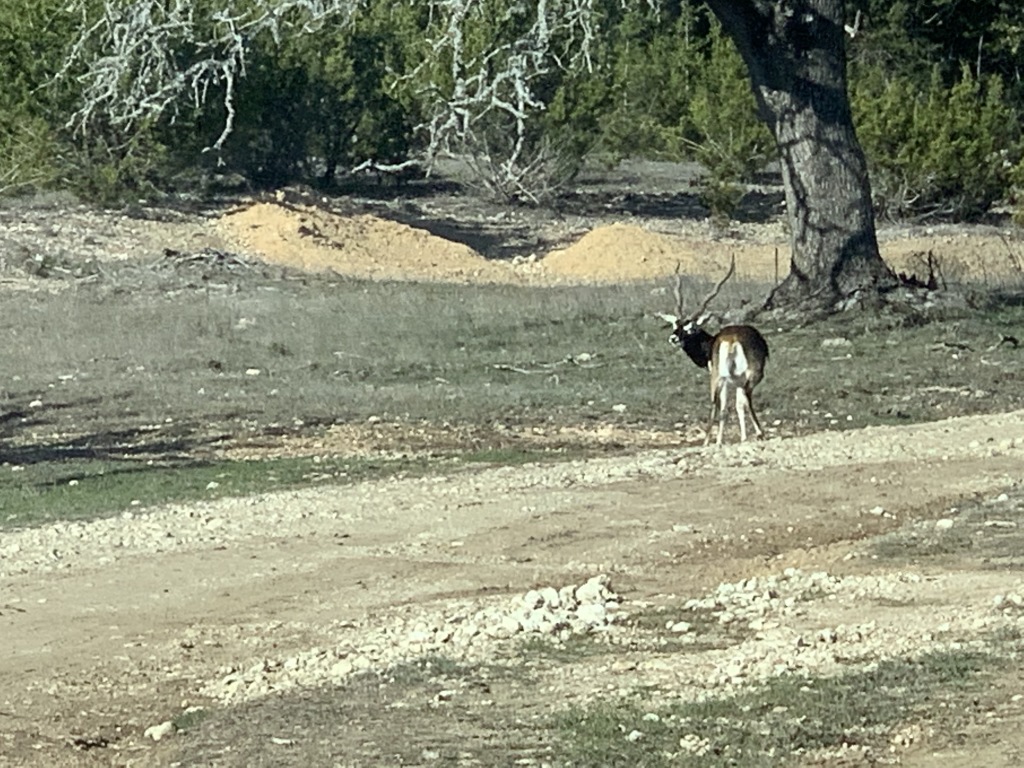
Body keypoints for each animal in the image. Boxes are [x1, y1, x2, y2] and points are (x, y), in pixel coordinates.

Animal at [657, 257, 769, 446]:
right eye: (675, 325)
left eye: (691, 328)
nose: (673, 339)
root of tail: (732, 340)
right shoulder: (736, 380)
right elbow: (736, 406)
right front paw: (741, 438)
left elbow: (730, 407)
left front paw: (723, 440)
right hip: (740, 377)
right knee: (736, 401)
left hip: (721, 377)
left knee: (718, 403)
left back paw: (709, 440)